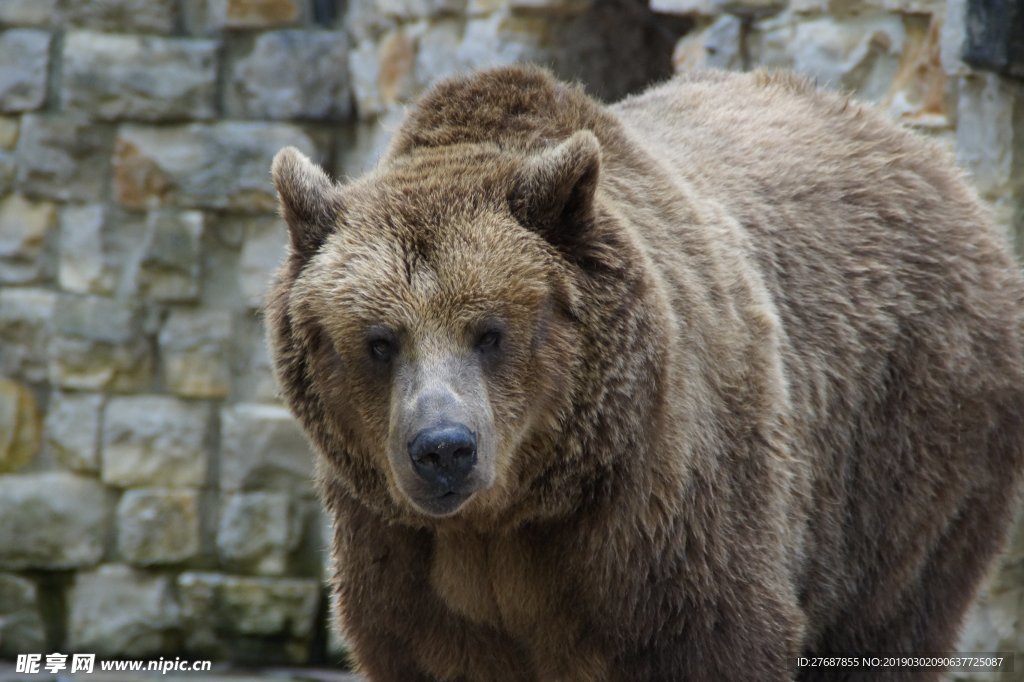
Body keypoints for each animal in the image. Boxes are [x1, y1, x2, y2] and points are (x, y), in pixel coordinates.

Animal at [266, 67, 1024, 679]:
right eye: (379, 341)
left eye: (490, 332)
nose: (444, 449)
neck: (515, 515)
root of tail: (935, 163)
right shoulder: (407, 562)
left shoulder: (668, 530)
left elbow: (722, 635)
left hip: (910, 446)